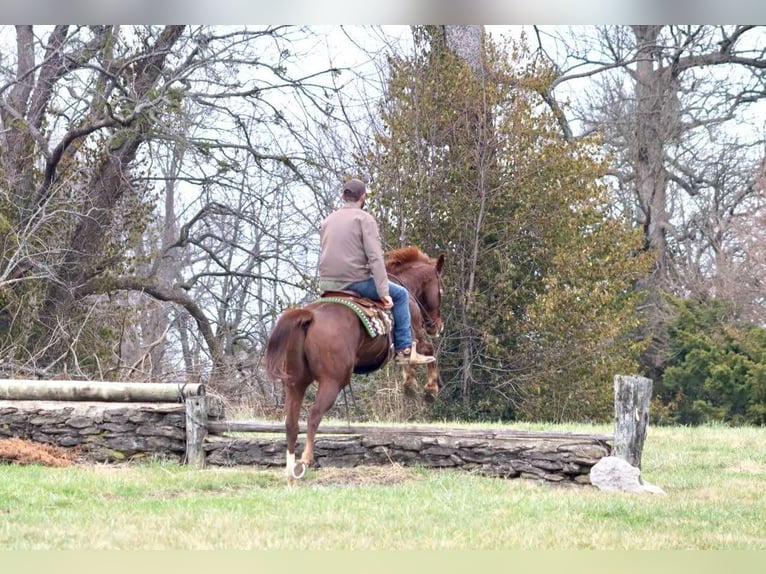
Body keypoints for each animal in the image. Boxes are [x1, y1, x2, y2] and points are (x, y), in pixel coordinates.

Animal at [266, 245, 444, 480]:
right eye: (441, 290)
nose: (437, 326)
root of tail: (309, 316)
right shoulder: (415, 332)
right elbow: (427, 352)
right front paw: (429, 389)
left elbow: (407, 359)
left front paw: (410, 384)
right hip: (332, 381)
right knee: (314, 413)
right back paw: (306, 459)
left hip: (295, 383)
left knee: (291, 422)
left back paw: (290, 469)